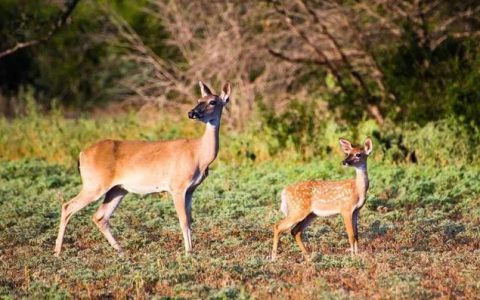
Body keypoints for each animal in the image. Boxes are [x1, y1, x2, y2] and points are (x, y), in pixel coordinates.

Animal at [55, 81, 232, 256]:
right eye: (198, 100)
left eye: (212, 102)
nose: (191, 113)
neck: (198, 154)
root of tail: (82, 154)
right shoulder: (177, 186)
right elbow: (183, 221)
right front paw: (188, 253)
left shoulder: (190, 189)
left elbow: (190, 220)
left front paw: (192, 251)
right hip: (95, 184)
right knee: (68, 207)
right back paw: (57, 252)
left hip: (117, 189)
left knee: (100, 216)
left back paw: (121, 251)